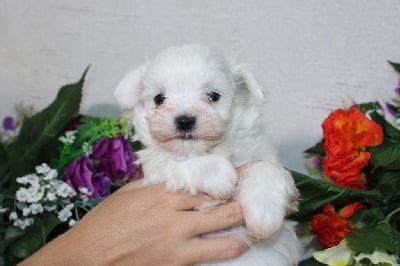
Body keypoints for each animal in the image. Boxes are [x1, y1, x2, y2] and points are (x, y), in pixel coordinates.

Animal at [114, 44, 298, 264]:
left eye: (213, 96)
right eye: (159, 99)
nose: (184, 121)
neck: (212, 149)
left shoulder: (260, 154)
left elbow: (266, 167)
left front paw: (264, 213)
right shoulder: (156, 168)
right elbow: (178, 162)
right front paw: (222, 177)